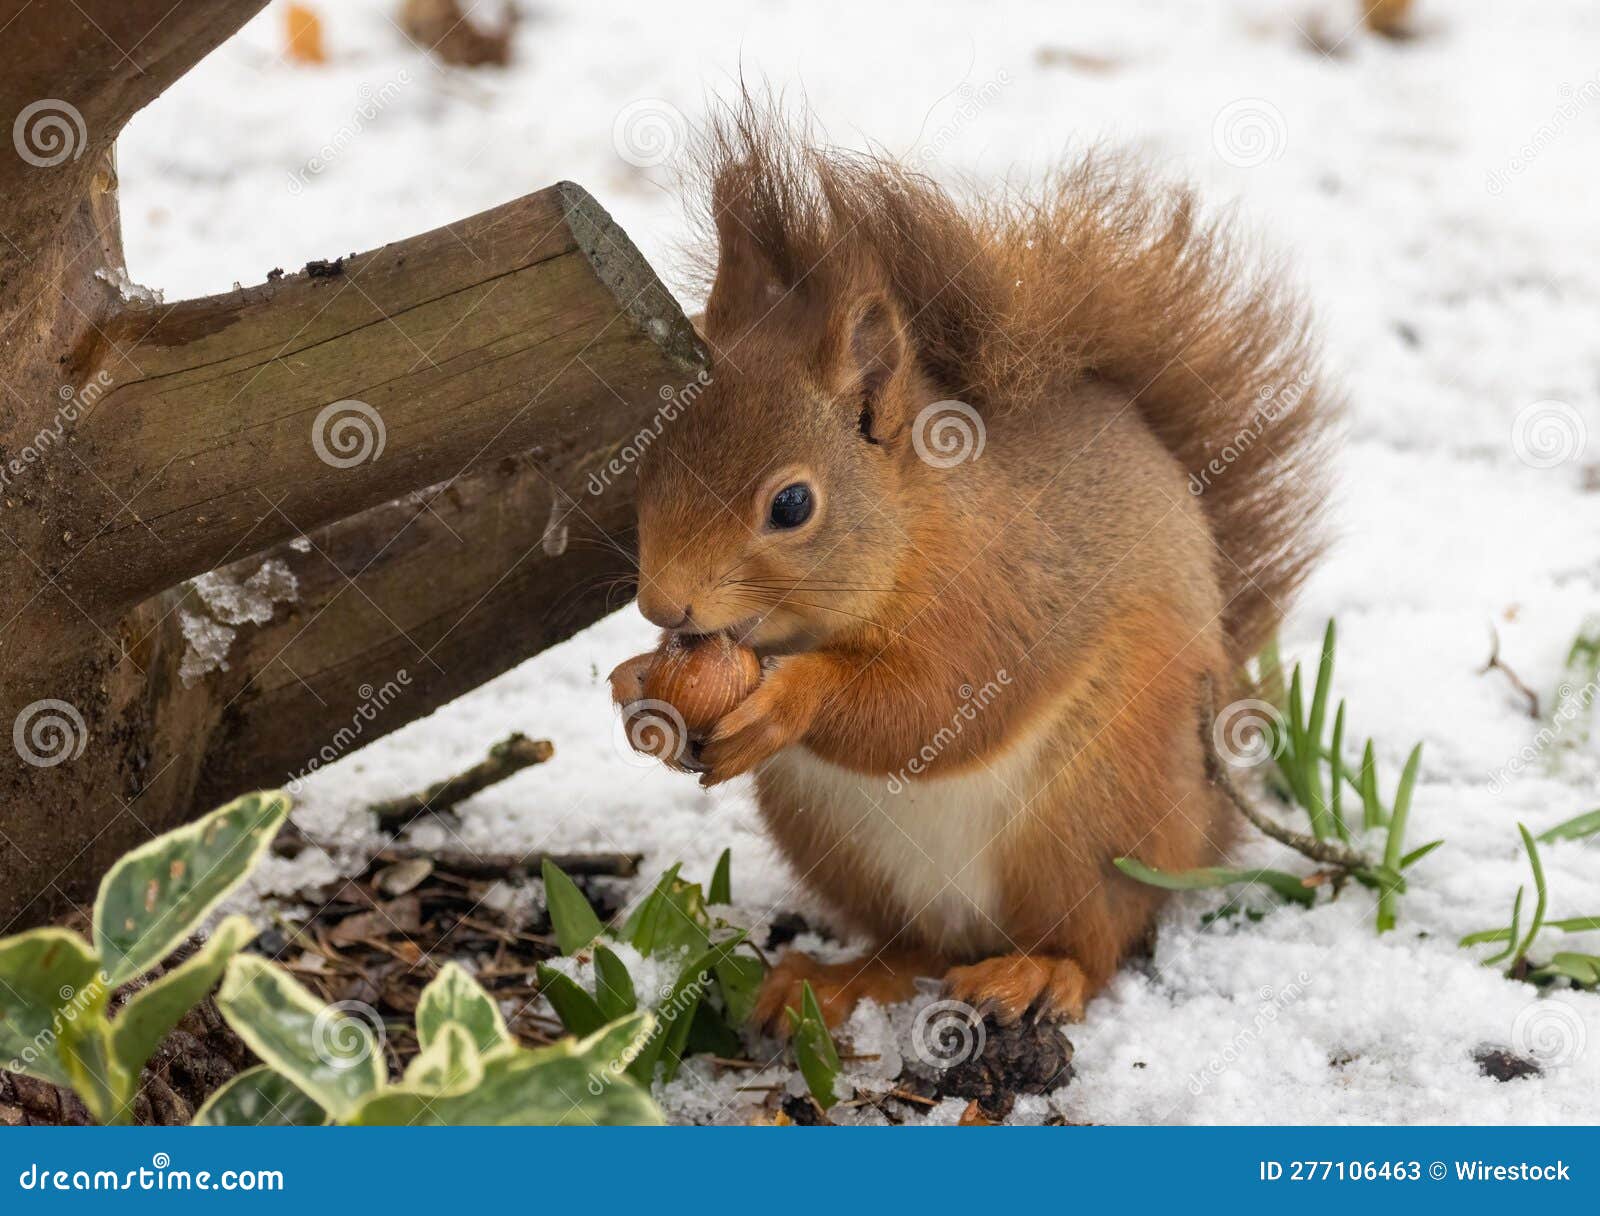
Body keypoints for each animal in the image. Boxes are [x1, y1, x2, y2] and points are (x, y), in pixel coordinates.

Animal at [614, 105, 1332, 1031]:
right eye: (644, 463)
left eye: (792, 506)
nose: (663, 606)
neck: (922, 527)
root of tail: (1204, 824)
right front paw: (636, 689)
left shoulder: (999, 597)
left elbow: (928, 707)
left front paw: (787, 700)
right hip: (841, 846)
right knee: (916, 945)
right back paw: (841, 978)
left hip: (1091, 811)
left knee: (1096, 941)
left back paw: (1037, 974)